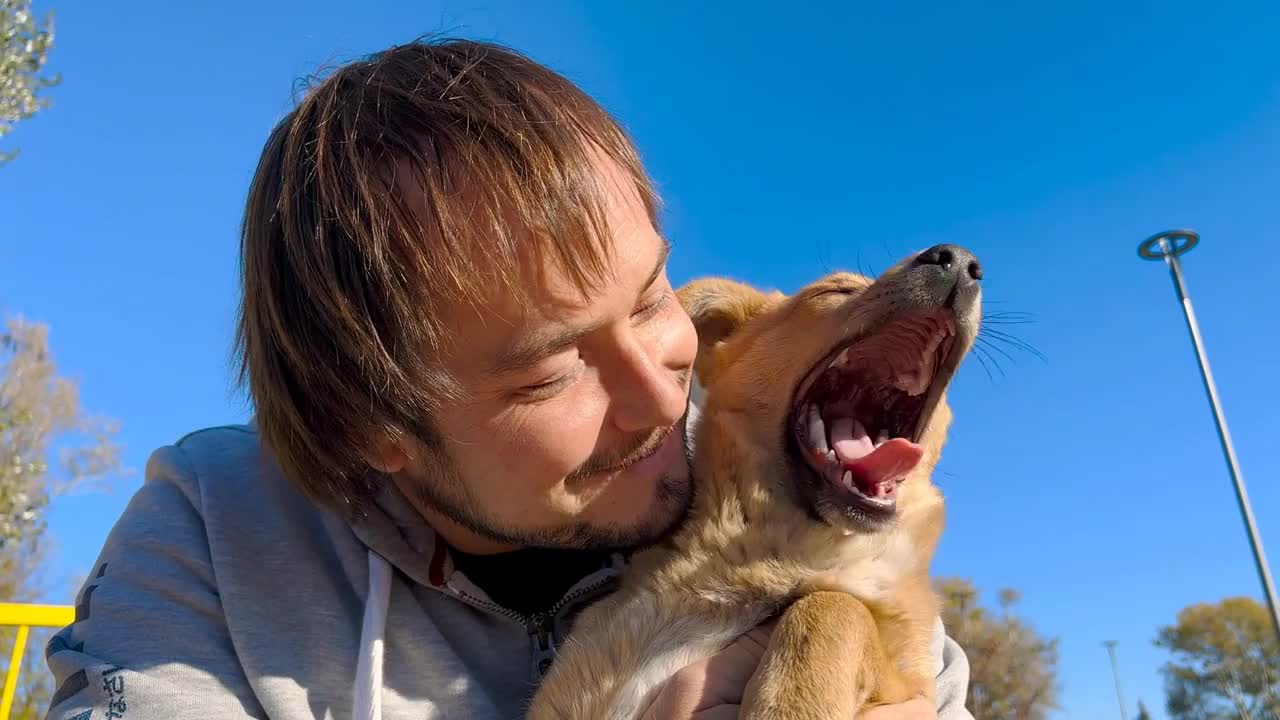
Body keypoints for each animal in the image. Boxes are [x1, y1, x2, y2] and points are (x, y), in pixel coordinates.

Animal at [524, 243, 983, 712]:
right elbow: (835, 604)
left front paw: (788, 705)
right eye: (835, 291)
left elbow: (833, 606)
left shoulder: (911, 688)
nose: (959, 259)